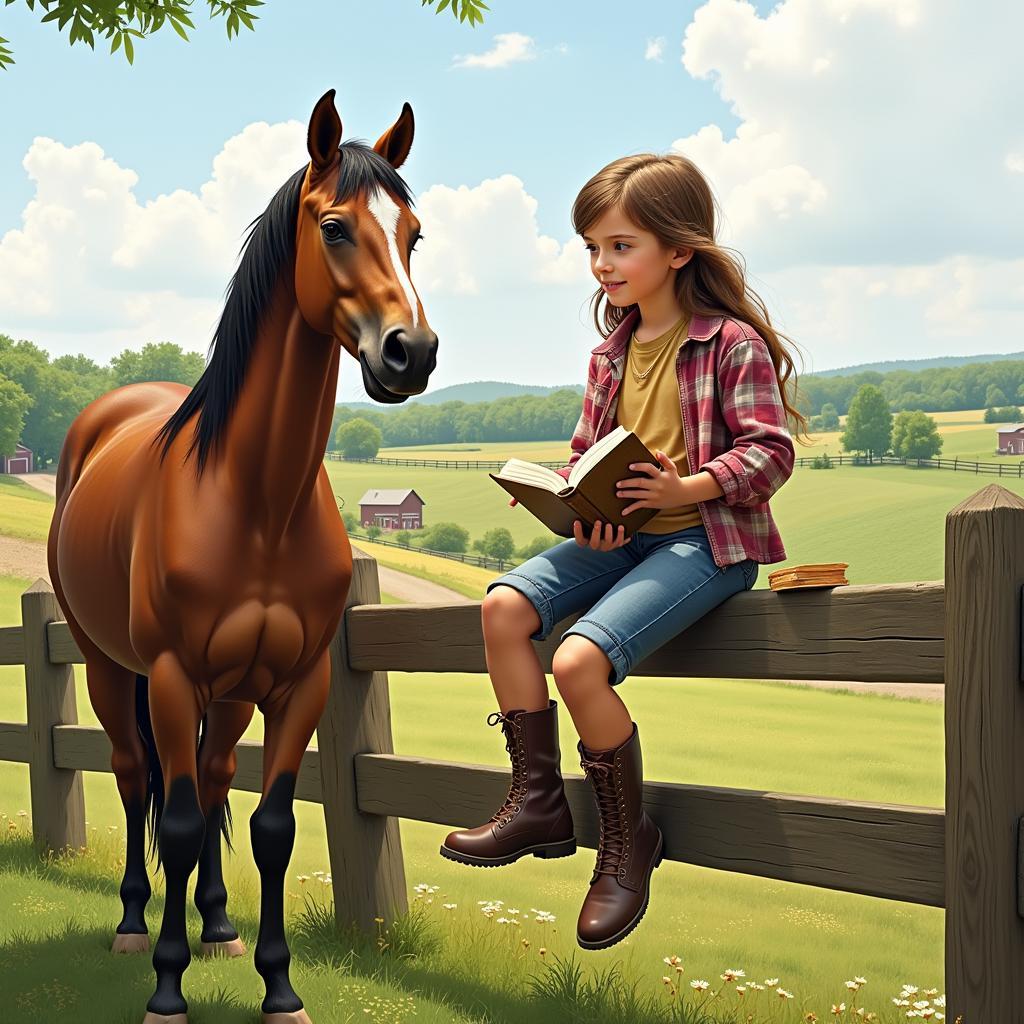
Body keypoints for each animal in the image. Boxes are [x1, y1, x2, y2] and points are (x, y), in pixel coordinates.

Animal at [46, 90, 438, 1024]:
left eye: (413, 234)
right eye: (334, 228)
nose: (410, 352)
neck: (260, 502)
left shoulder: (300, 684)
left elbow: (272, 826)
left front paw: (279, 985)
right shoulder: (172, 675)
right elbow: (182, 821)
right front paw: (165, 987)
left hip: (230, 693)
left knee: (219, 775)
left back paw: (218, 926)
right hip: (112, 668)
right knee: (135, 779)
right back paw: (132, 924)